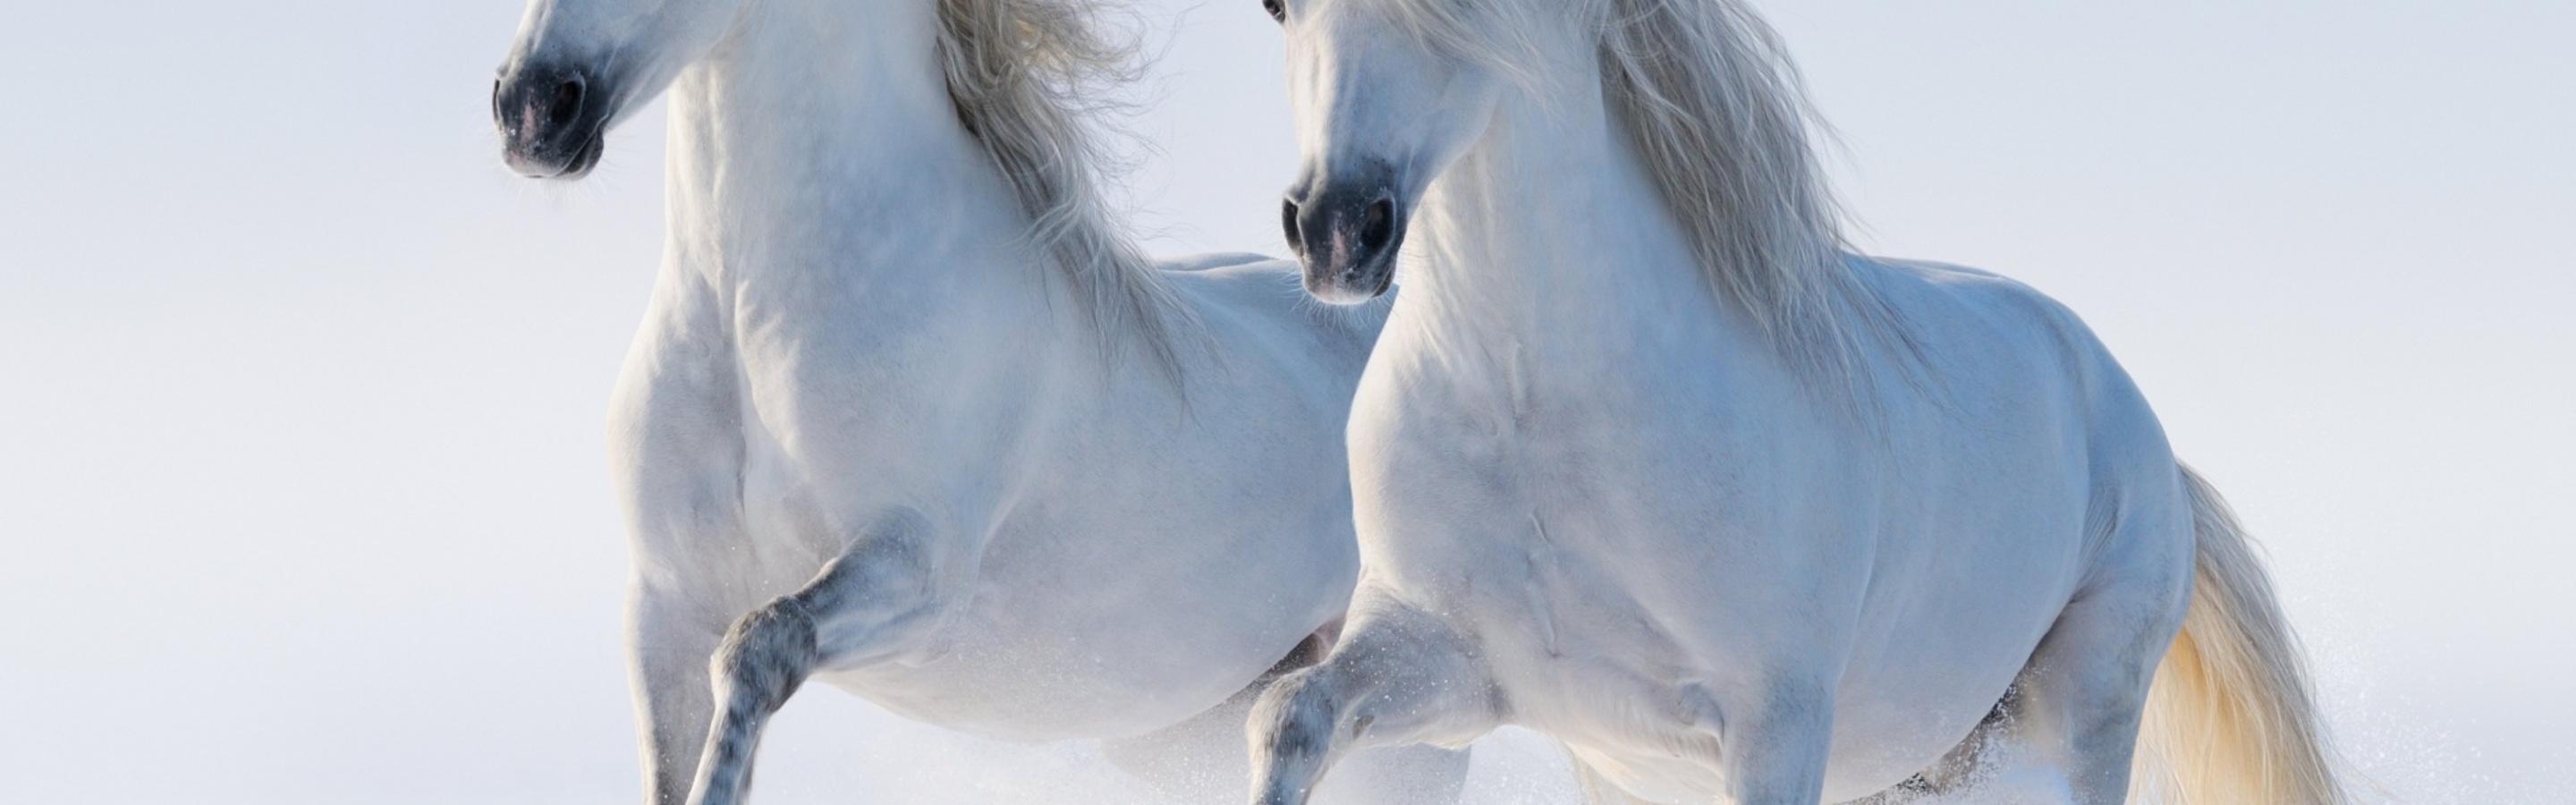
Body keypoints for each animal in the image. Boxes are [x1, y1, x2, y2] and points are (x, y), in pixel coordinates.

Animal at [487, 0, 1471, 802]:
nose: (534, 108)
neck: (750, 318)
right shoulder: (663, 608)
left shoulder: (917, 571)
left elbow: (761, 645)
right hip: (1187, 730)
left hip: (1410, 729)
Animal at [1241, 0, 2342, 803]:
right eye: (1277, 5)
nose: (1336, 228)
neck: (1536, 413)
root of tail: (2143, 434)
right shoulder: (1460, 667)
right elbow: (1289, 714)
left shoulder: (1773, 724)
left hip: (2085, 705)